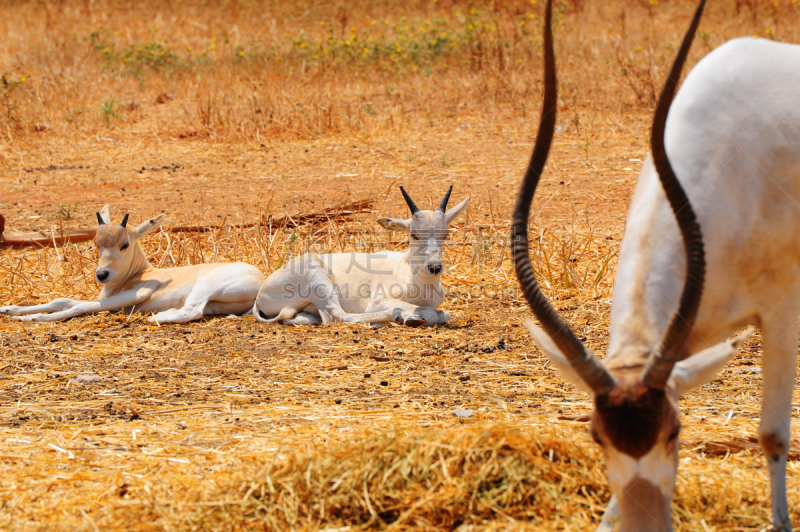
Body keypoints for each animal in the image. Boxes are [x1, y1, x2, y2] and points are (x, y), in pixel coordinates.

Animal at [255, 187, 468, 328]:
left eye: (445, 234)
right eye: (414, 234)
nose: (434, 267)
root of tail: (261, 295)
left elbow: (444, 314)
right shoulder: (378, 301)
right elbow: (432, 313)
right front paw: (410, 316)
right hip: (318, 280)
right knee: (339, 316)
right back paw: (401, 316)